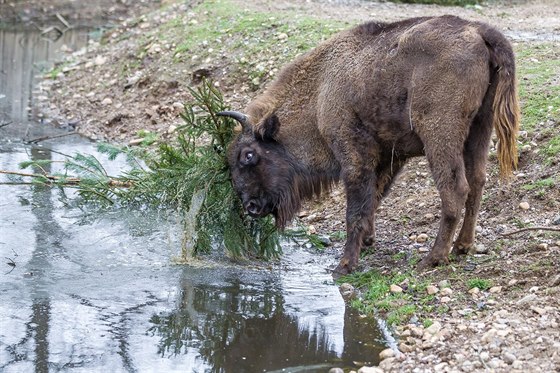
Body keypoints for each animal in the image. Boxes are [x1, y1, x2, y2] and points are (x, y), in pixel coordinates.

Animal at [219, 15, 520, 274]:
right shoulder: (389, 157)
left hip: (440, 135)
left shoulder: (354, 157)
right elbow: (374, 197)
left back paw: (433, 258)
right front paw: (366, 242)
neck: (321, 91)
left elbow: (356, 209)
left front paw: (344, 265)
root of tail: (479, 31)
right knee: (477, 181)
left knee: (455, 189)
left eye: (249, 155)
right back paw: (462, 246)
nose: (250, 206)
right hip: (479, 130)